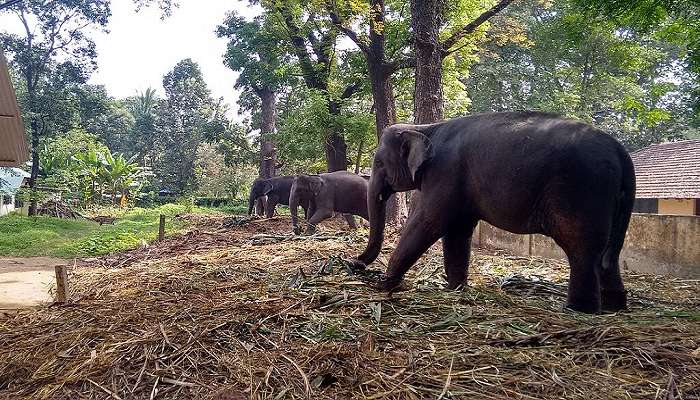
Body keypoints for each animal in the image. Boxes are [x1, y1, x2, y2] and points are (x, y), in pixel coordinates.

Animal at [348, 111, 636, 314]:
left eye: (379, 163)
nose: (355, 264)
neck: (426, 128)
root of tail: (622, 152)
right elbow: (457, 231)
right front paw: (456, 289)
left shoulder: (444, 174)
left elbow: (429, 222)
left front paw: (384, 284)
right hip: (611, 201)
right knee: (608, 254)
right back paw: (614, 307)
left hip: (582, 191)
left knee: (582, 249)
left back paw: (577, 309)